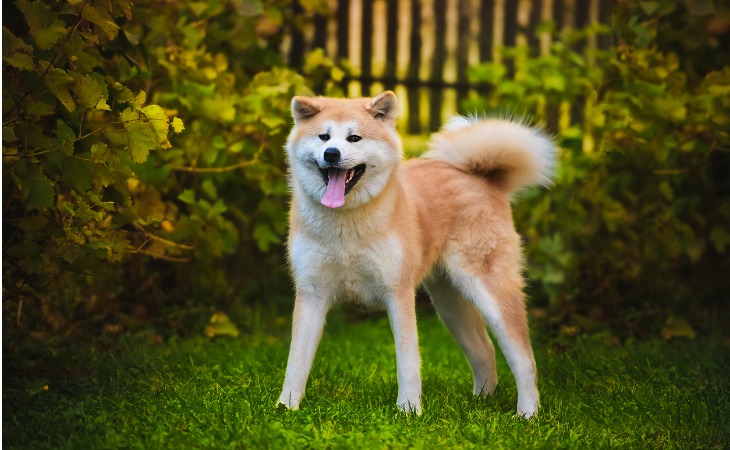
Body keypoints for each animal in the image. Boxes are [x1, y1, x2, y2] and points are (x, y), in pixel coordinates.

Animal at [278, 91, 552, 418]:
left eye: (354, 138)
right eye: (323, 136)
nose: (331, 153)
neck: (345, 225)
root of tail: (482, 179)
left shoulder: (398, 293)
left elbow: (408, 362)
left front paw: (408, 410)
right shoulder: (311, 293)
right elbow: (296, 361)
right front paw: (286, 406)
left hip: (490, 292)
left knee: (524, 359)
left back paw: (527, 414)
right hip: (450, 304)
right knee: (485, 349)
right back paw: (481, 401)